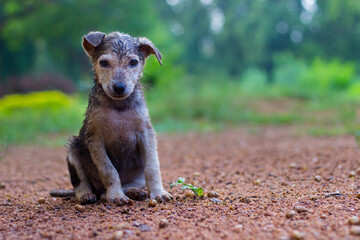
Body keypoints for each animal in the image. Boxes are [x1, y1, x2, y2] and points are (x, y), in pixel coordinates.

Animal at [53, 31, 172, 205]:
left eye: (133, 62)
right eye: (104, 62)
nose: (119, 87)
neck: (119, 107)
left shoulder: (146, 133)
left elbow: (152, 168)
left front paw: (158, 193)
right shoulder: (95, 139)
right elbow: (109, 170)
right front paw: (115, 195)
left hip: (137, 176)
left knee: (120, 187)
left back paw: (135, 192)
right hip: (73, 152)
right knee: (82, 185)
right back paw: (87, 195)